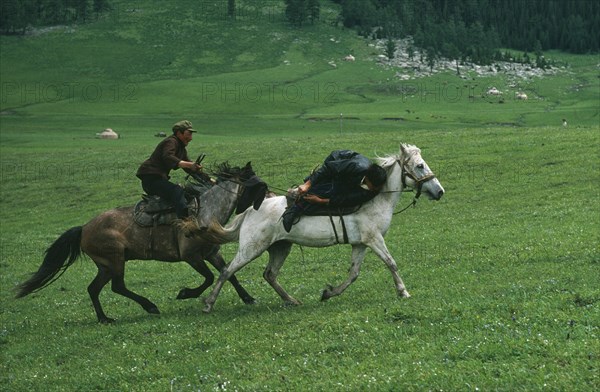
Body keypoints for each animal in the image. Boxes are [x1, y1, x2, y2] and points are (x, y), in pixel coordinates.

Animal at [15, 162, 268, 322]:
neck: (205, 211)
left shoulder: (212, 253)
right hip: (115, 260)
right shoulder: (191, 257)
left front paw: (249, 298)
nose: (268, 199)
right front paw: (185, 293)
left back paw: (105, 318)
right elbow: (207, 278)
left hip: (105, 265)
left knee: (94, 288)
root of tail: (84, 228)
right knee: (117, 286)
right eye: (257, 185)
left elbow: (229, 273)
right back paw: (149, 306)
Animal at [202, 144, 446, 312]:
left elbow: (354, 273)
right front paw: (403, 291)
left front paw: (329, 293)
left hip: (280, 247)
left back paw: (291, 300)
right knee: (227, 271)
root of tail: (251, 210)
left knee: (269, 274)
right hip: (252, 248)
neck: (375, 198)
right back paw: (208, 304)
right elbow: (391, 263)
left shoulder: (360, 244)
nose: (440, 191)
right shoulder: (374, 239)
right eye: (420, 165)